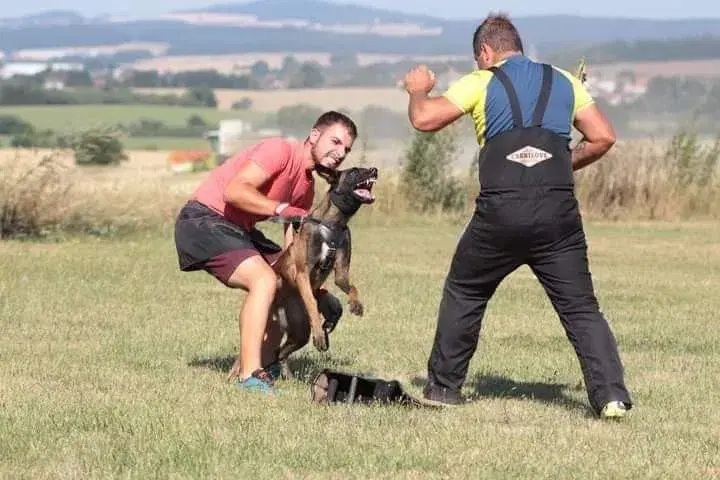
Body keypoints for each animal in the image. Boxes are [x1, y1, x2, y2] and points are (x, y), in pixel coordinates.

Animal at [266, 165, 376, 378]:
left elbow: (352, 287)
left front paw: (355, 304)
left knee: (280, 352)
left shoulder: (341, 274)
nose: (375, 170)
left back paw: (287, 376)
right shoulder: (302, 274)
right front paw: (319, 333)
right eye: (355, 171)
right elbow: (312, 303)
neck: (333, 225)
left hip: (299, 333)